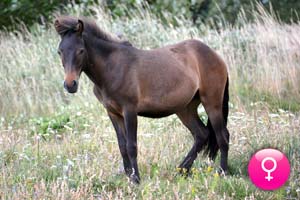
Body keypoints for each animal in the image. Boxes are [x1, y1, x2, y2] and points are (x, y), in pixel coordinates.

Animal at [54, 16, 230, 184]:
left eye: (81, 50)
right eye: (59, 51)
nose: (70, 85)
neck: (112, 68)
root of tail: (216, 56)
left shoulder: (130, 111)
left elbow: (131, 146)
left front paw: (136, 179)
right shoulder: (113, 113)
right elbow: (122, 146)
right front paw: (128, 176)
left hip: (212, 103)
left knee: (222, 136)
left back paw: (222, 172)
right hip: (185, 108)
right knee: (201, 134)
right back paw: (182, 170)